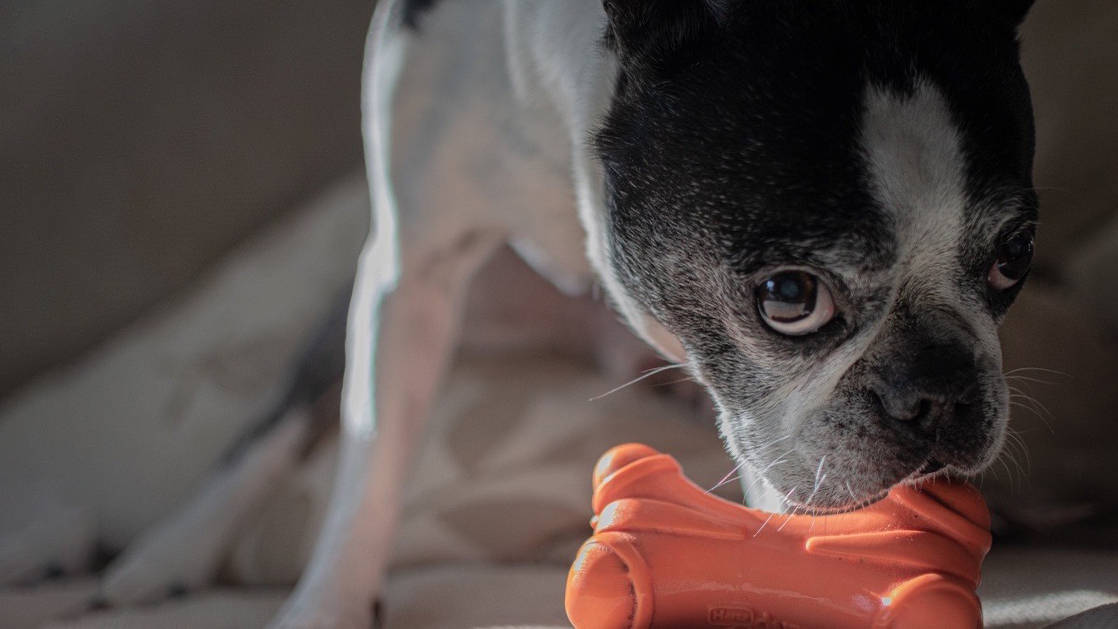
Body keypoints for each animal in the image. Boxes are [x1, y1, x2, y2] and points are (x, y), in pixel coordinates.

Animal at [91, 2, 1041, 625]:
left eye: (1014, 256)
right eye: (789, 296)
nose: (941, 392)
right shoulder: (411, 267)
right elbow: (369, 461)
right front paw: (326, 606)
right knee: (292, 408)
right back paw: (164, 551)